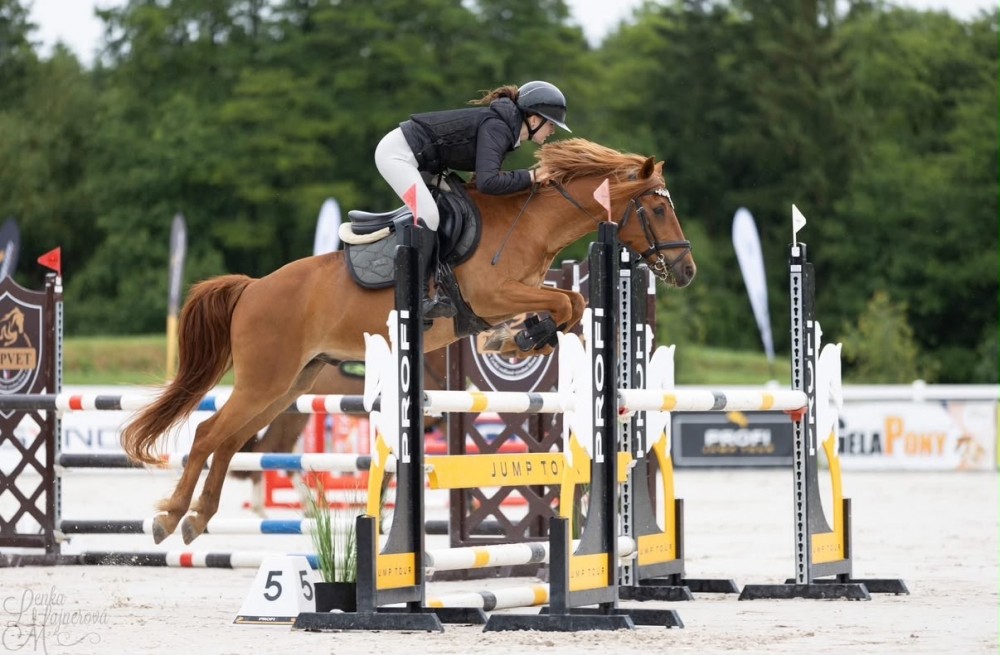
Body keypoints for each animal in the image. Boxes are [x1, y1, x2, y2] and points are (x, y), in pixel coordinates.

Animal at [121, 138, 696, 545]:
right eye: (659, 209)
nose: (687, 270)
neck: (528, 223)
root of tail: (253, 287)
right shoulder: (493, 293)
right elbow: (566, 304)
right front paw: (517, 339)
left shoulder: (514, 294)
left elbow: (569, 306)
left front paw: (517, 340)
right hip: (267, 381)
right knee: (209, 435)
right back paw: (171, 518)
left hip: (289, 385)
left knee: (231, 441)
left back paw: (198, 518)